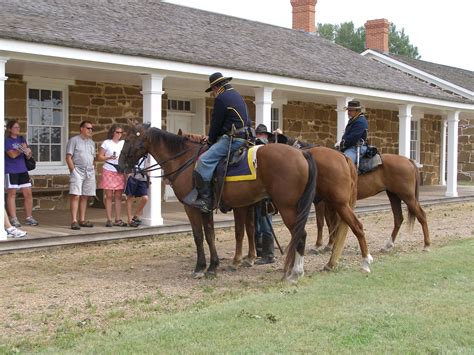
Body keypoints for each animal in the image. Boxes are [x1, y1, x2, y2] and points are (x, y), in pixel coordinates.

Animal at [118, 125, 316, 284]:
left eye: (127, 139)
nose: (120, 165)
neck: (186, 161)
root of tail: (301, 153)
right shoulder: (212, 209)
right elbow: (213, 234)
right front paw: (215, 265)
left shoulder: (193, 207)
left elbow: (200, 236)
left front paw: (202, 268)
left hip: (287, 207)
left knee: (301, 234)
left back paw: (295, 273)